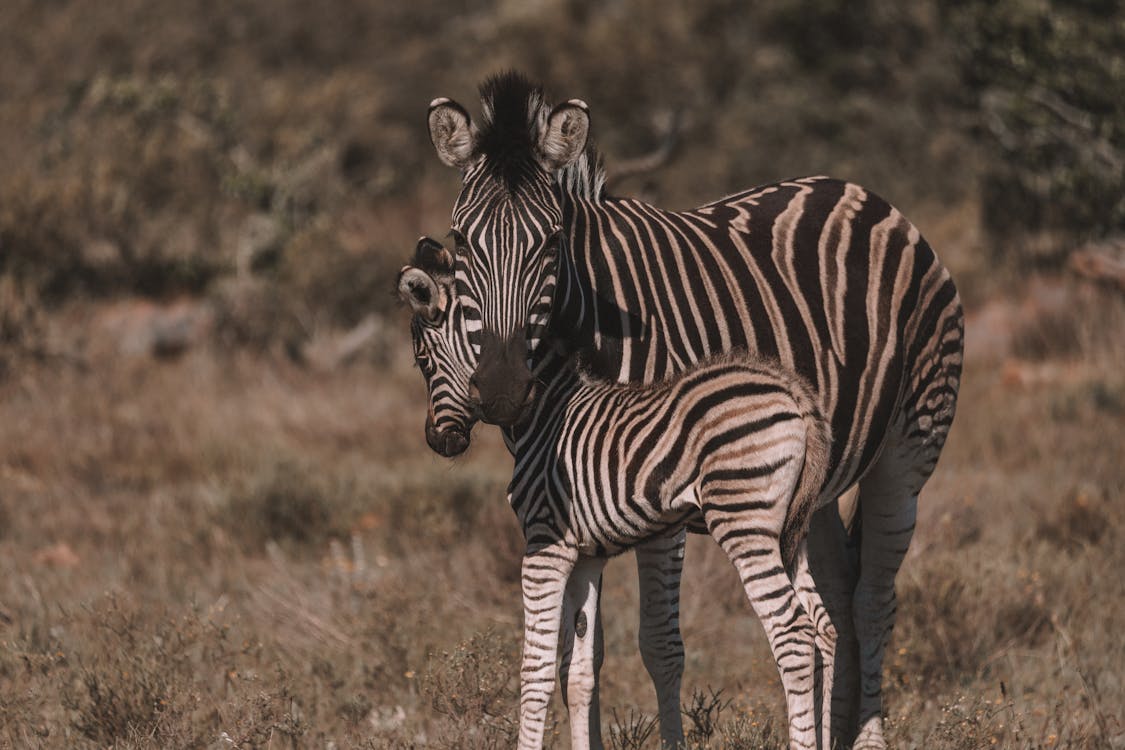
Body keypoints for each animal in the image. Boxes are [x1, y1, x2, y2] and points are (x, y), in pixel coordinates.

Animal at [425, 71, 963, 750]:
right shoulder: (588, 498)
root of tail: (866, 195)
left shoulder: (655, 495)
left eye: (549, 242)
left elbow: (658, 644)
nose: (499, 390)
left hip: (907, 453)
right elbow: (586, 652)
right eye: (461, 239)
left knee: (873, 600)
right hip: (813, 486)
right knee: (839, 595)